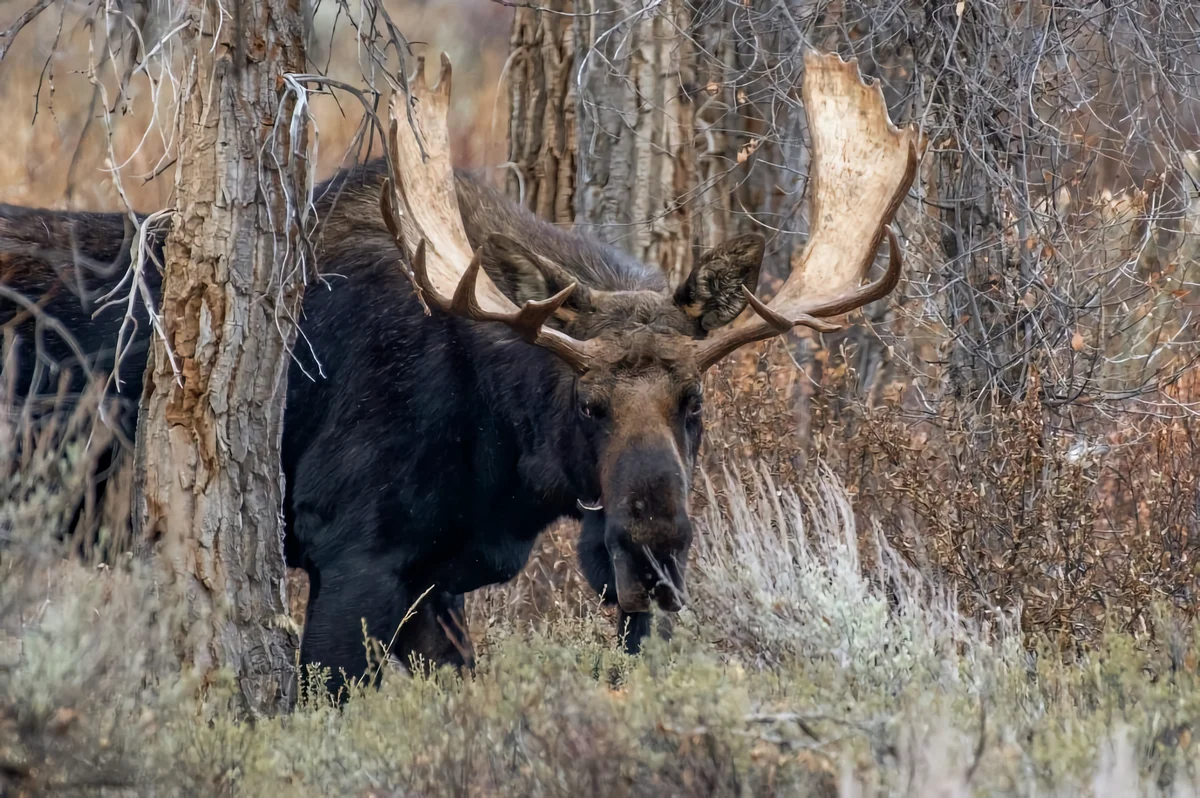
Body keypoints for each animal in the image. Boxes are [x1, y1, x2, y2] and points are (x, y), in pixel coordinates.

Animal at [2, 51, 916, 696]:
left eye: (694, 402)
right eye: (586, 403)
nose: (654, 550)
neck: (505, 468)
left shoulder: (436, 586)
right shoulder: (354, 557)